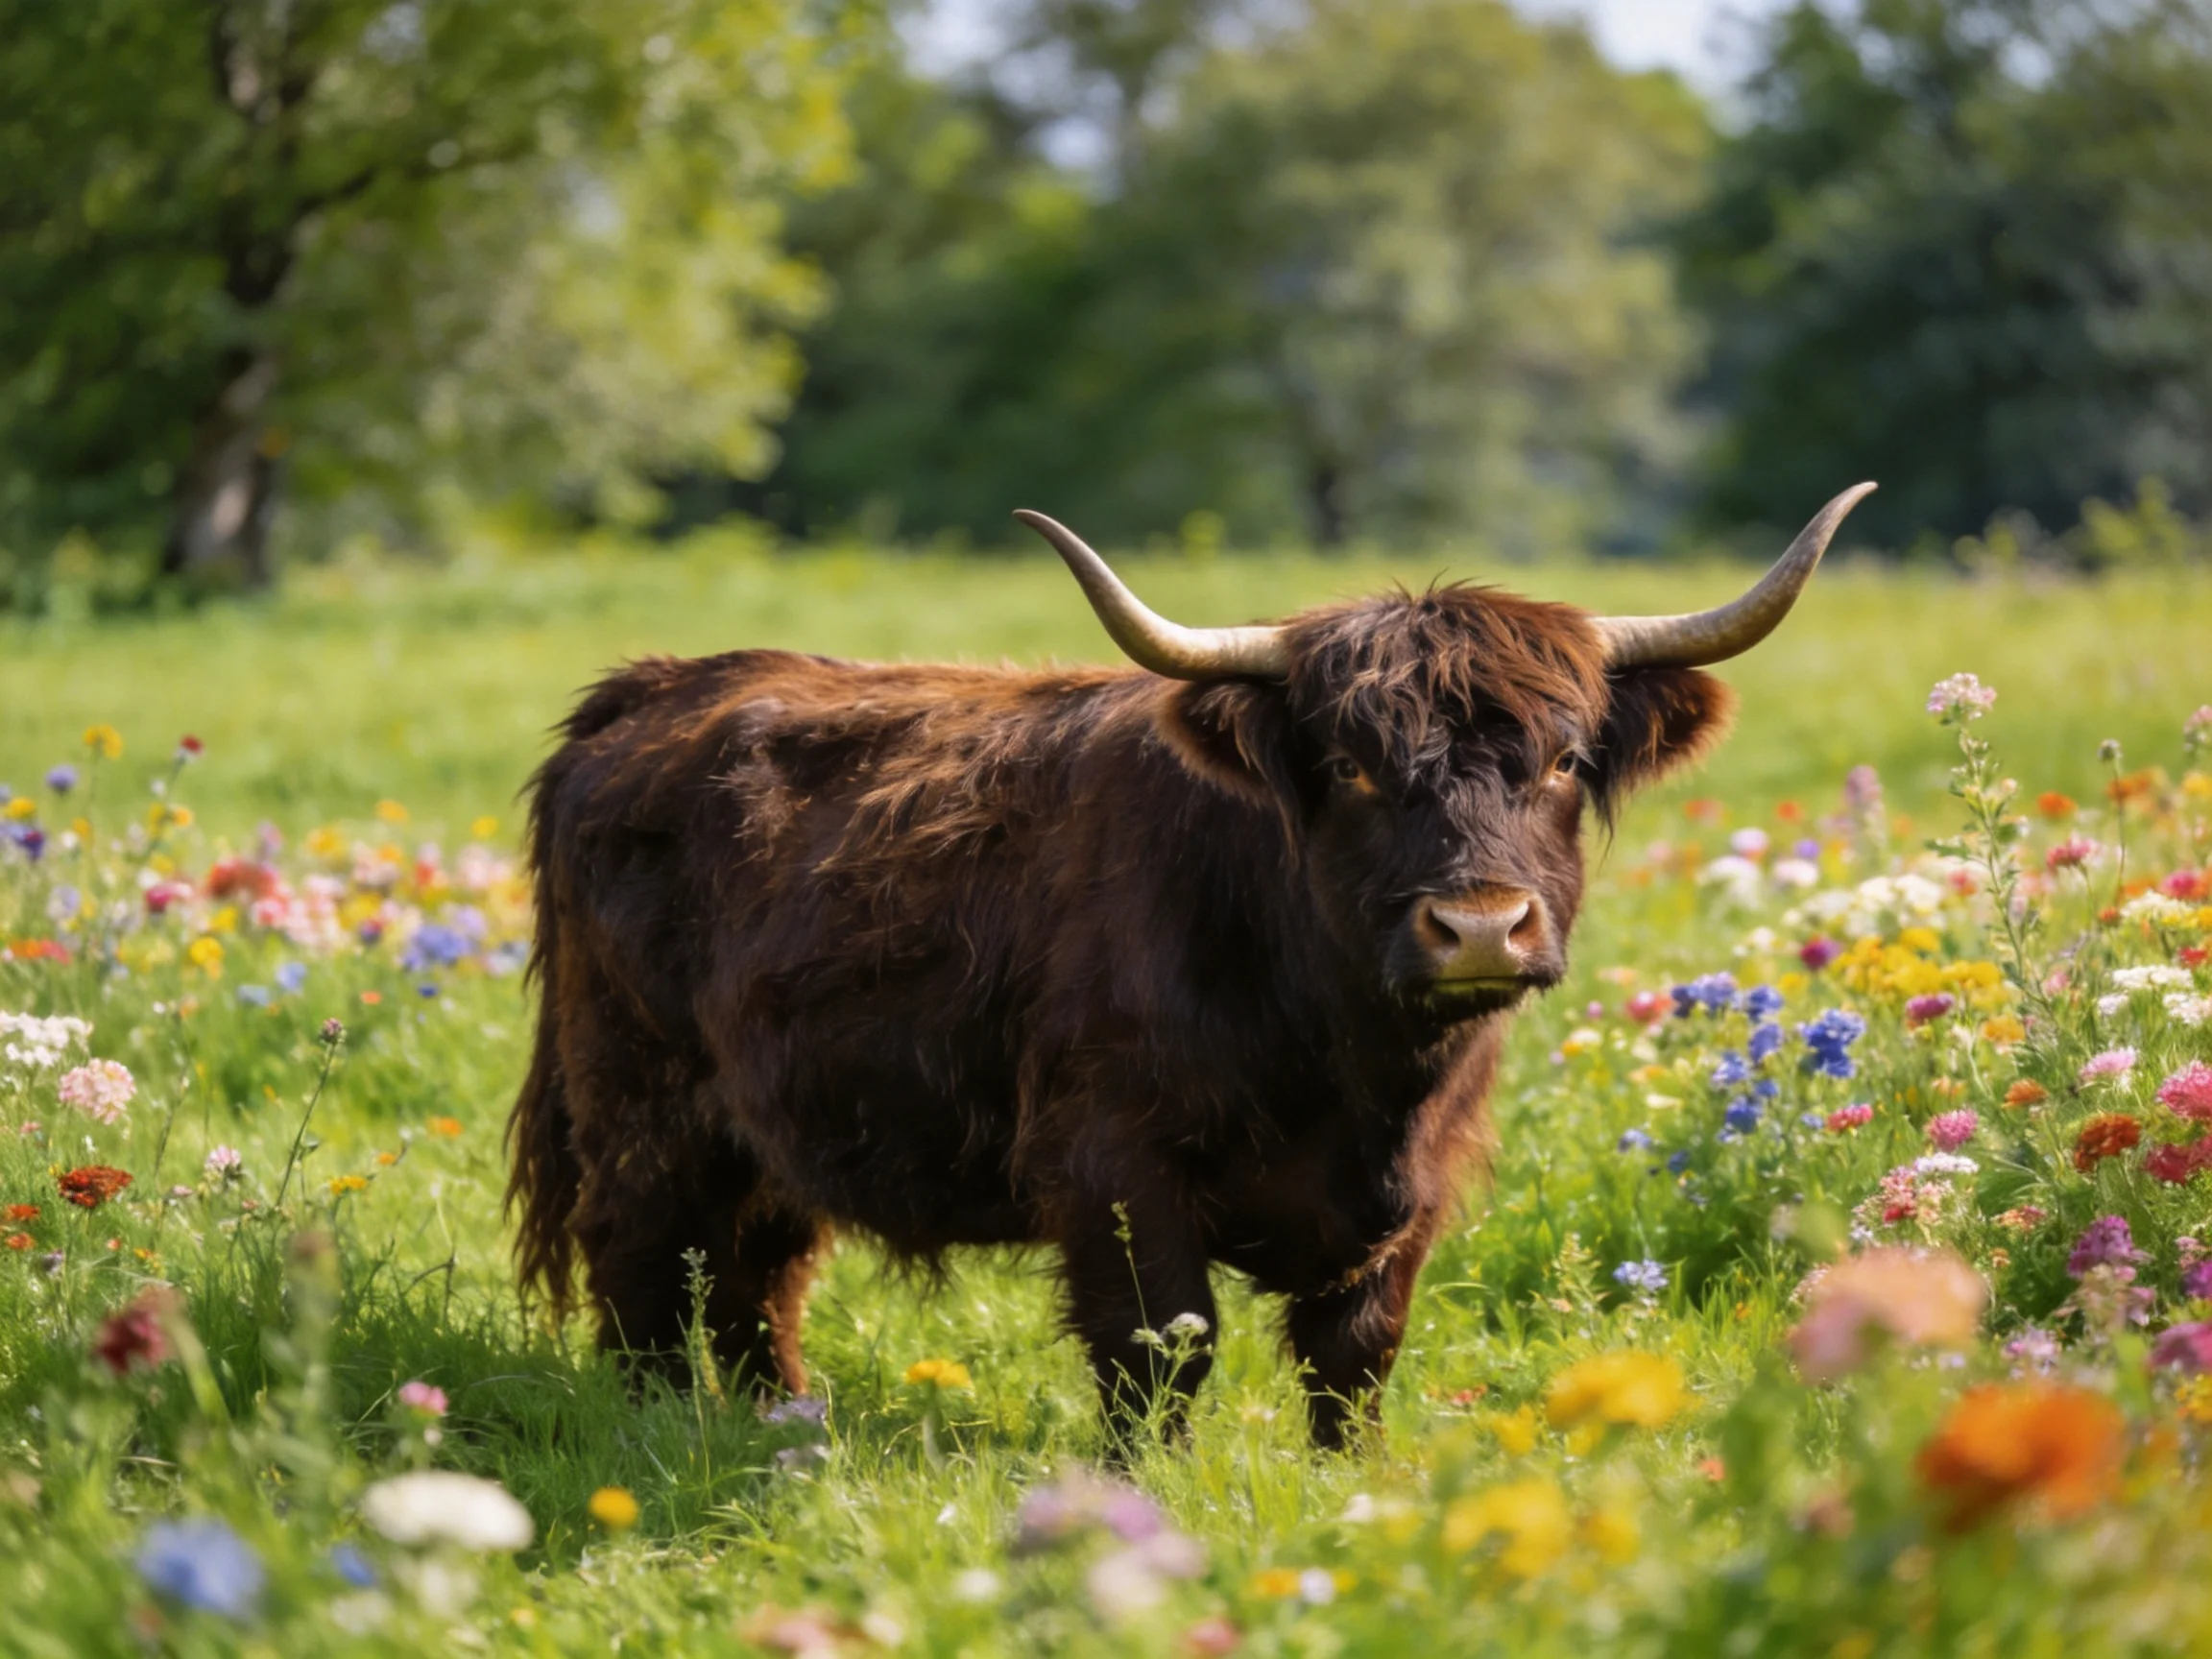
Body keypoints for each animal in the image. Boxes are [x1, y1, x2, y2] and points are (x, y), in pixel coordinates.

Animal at [507, 484, 1874, 1447]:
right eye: (1351, 767)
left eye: (1561, 761)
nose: (1481, 927)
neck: (1356, 1070)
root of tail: (654, 686)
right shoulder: (1113, 1161)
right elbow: (1161, 1342)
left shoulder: (1416, 1190)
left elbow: (1355, 1352)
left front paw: (1350, 1486)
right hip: (639, 1102)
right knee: (644, 1267)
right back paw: (664, 1432)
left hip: (769, 1127)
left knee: (754, 1280)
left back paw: (780, 1424)